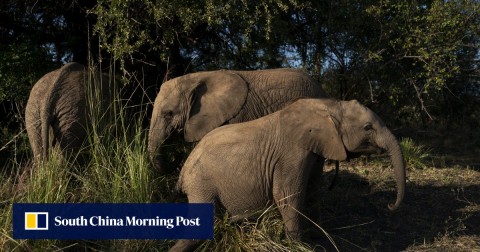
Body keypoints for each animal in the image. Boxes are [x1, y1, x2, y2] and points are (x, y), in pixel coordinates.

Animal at [171, 97, 406, 251]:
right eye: (367, 127)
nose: (390, 206)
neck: (329, 106)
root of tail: (183, 173)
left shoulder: (315, 152)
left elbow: (312, 190)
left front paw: (317, 236)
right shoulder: (292, 153)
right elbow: (287, 195)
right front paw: (300, 246)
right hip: (201, 181)